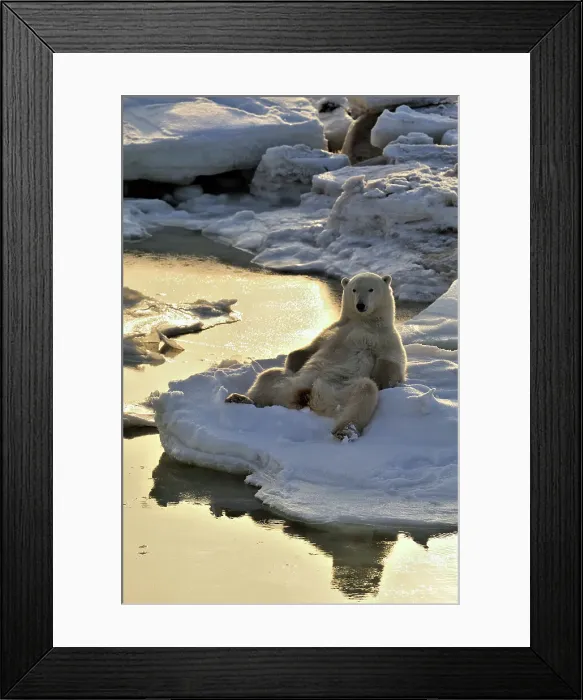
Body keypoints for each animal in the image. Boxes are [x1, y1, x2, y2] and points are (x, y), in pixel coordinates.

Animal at [225, 272, 407, 442]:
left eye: (371, 289)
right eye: (354, 289)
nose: (360, 305)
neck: (363, 322)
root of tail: (307, 397)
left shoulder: (385, 338)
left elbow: (393, 365)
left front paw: (383, 381)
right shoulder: (333, 329)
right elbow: (309, 348)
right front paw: (293, 361)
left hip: (338, 391)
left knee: (364, 391)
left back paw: (346, 430)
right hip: (290, 383)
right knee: (268, 376)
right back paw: (240, 398)